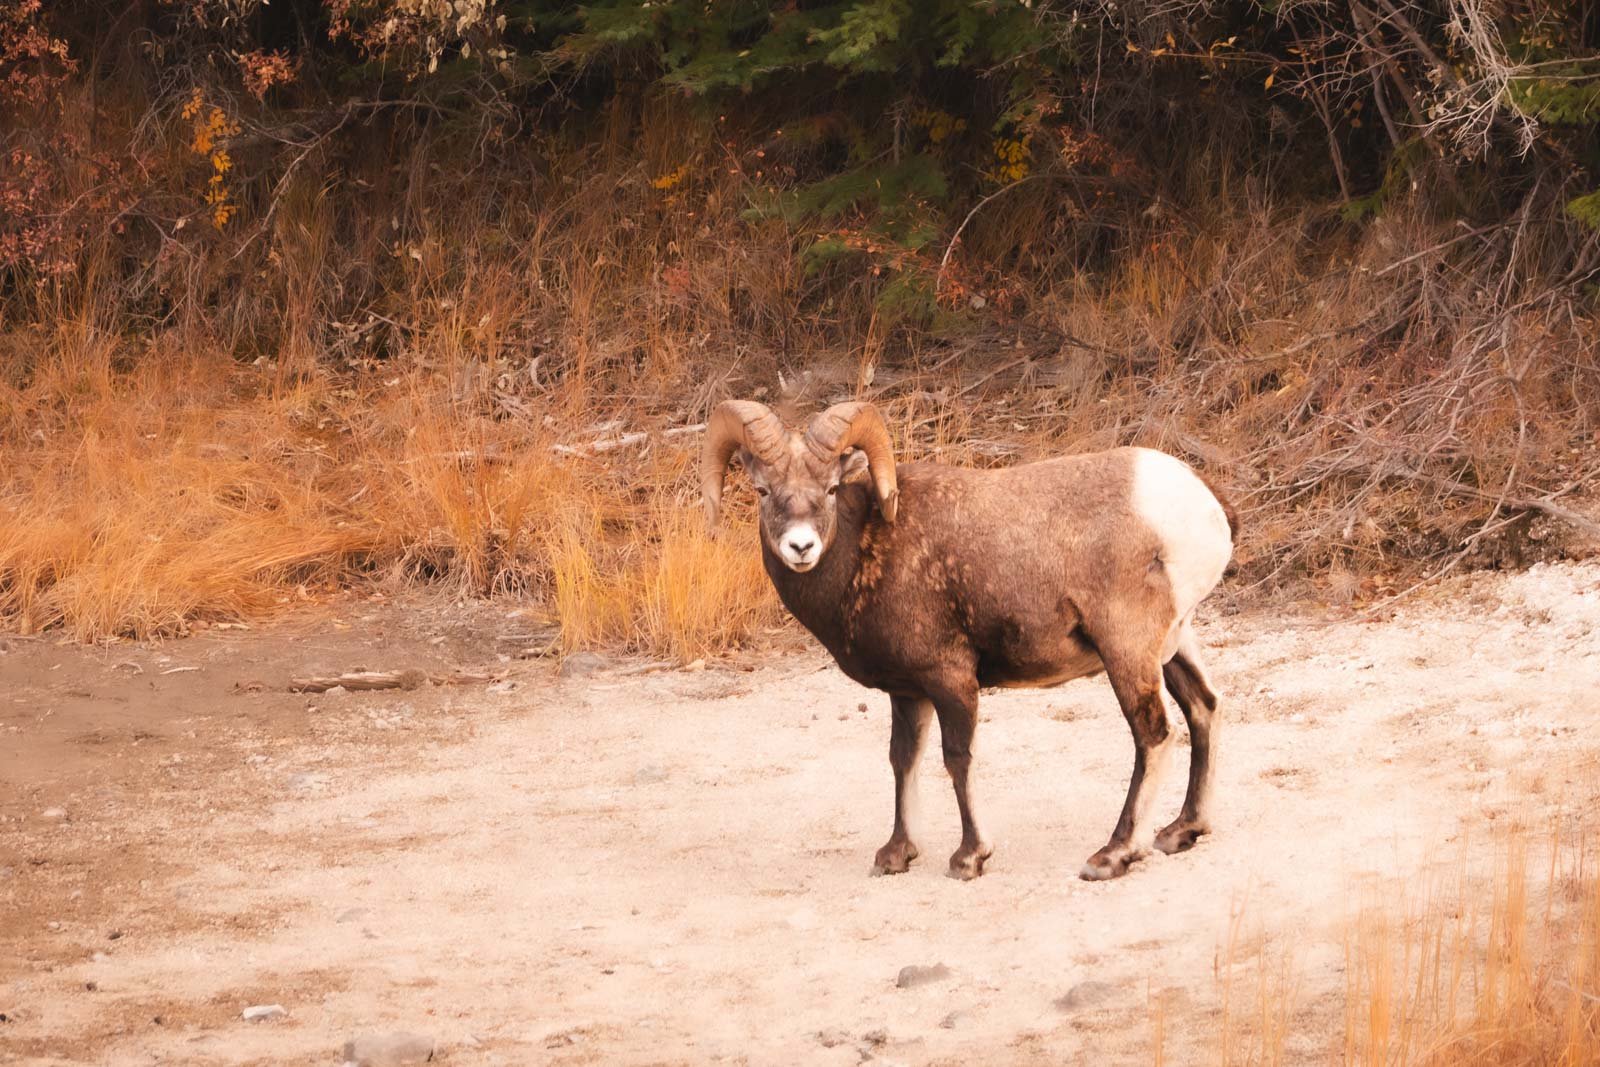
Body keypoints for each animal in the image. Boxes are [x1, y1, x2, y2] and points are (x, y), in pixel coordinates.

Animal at [702, 399, 1236, 881]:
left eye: (831, 488)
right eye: (763, 490)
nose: (801, 547)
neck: (865, 553)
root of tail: (1204, 508)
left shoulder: (951, 679)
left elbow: (956, 760)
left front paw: (968, 858)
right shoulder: (907, 692)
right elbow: (903, 760)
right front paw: (896, 854)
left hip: (1127, 649)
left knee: (1153, 733)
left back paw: (1113, 855)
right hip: (1173, 645)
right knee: (1204, 707)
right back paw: (1182, 831)